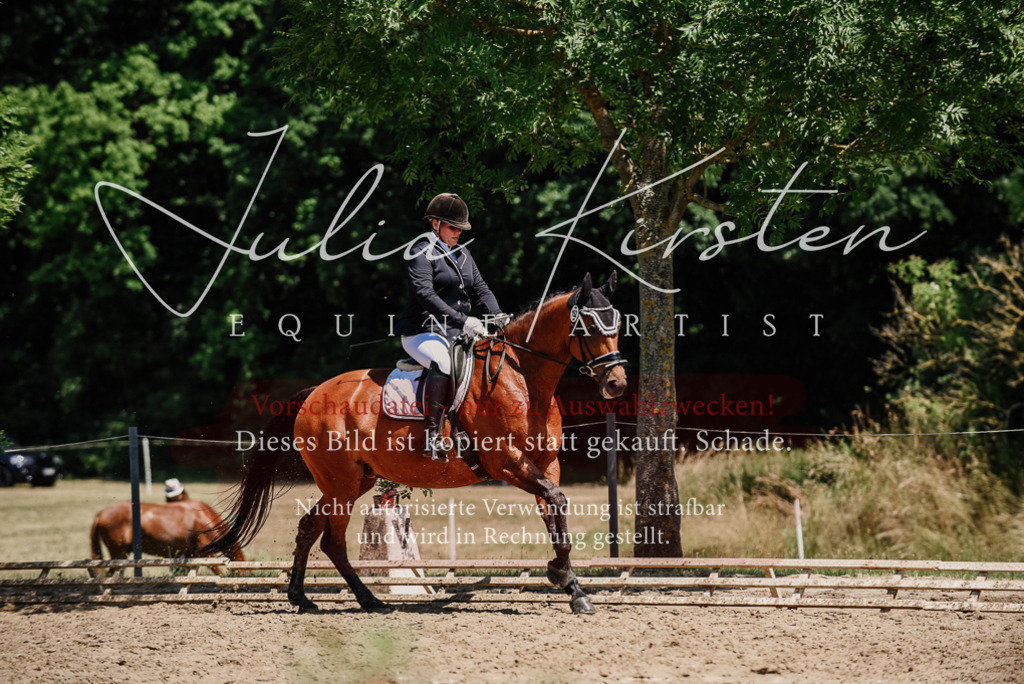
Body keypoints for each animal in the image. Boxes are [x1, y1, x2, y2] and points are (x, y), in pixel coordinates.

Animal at [90, 499, 245, 576]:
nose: (242, 574)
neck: (204, 518)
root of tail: (100, 514)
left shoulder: (189, 553)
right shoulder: (205, 553)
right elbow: (217, 570)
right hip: (119, 552)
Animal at [203, 271, 628, 612]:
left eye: (619, 324)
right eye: (588, 328)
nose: (616, 384)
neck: (522, 376)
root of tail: (313, 393)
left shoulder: (545, 464)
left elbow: (556, 515)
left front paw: (572, 587)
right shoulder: (507, 462)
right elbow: (556, 502)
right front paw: (559, 576)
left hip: (354, 481)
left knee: (311, 528)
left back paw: (303, 597)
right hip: (341, 482)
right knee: (332, 541)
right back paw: (366, 599)